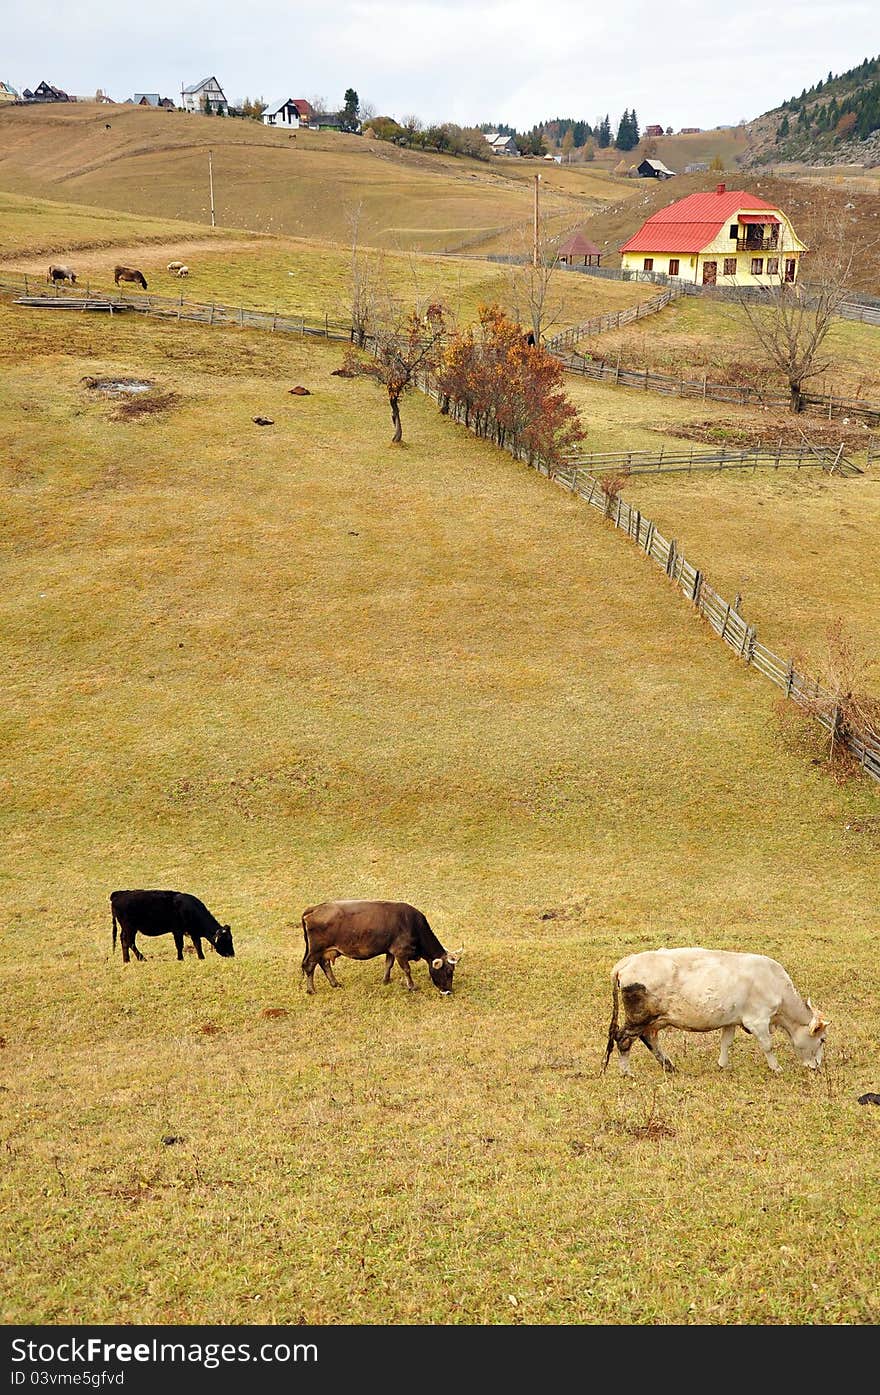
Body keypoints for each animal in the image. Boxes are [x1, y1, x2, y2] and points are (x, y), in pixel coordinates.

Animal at [301, 898, 465, 998]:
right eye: (448, 971)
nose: (449, 991)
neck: (412, 924)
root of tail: (315, 908)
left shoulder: (390, 950)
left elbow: (388, 964)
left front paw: (385, 980)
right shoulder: (400, 952)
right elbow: (407, 969)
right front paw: (412, 987)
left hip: (324, 951)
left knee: (324, 964)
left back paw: (335, 983)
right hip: (315, 950)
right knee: (309, 966)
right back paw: (311, 990)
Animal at [602, 948, 831, 1076]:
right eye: (822, 1040)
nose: (817, 1067)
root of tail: (628, 962)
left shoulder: (731, 1020)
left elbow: (726, 1042)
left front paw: (723, 1065)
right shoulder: (757, 1021)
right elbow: (767, 1045)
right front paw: (776, 1068)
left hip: (654, 1020)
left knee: (649, 1038)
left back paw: (669, 1066)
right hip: (638, 1017)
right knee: (623, 1038)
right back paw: (627, 1072)